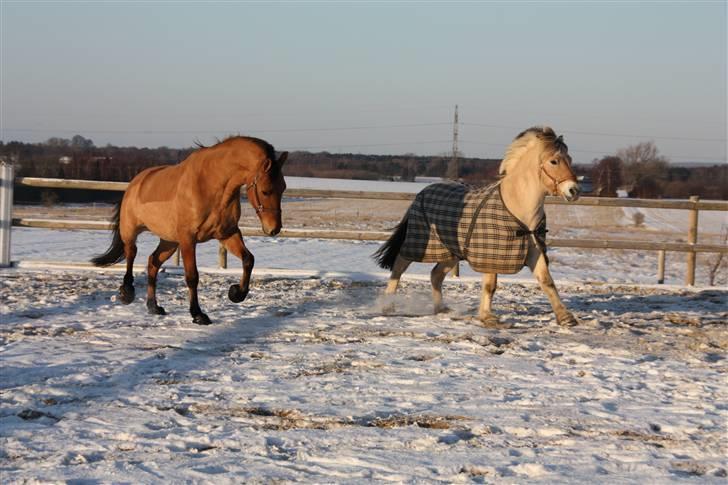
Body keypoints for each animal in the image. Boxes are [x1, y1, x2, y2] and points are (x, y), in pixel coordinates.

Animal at [94, 135, 290, 326]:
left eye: (283, 188)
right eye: (265, 191)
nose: (274, 229)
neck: (211, 185)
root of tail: (134, 184)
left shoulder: (227, 234)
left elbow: (248, 259)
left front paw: (236, 293)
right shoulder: (188, 239)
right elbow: (192, 276)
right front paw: (198, 314)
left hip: (169, 242)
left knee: (153, 262)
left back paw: (154, 306)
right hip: (131, 231)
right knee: (131, 254)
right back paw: (127, 293)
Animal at [376, 126, 580, 328]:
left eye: (570, 159)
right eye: (554, 161)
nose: (574, 191)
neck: (518, 209)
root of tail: (422, 193)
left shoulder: (533, 252)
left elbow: (547, 281)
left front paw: (566, 317)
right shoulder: (492, 255)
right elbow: (490, 286)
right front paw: (487, 317)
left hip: (451, 253)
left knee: (435, 275)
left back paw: (441, 309)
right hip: (419, 245)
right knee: (399, 266)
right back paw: (388, 306)